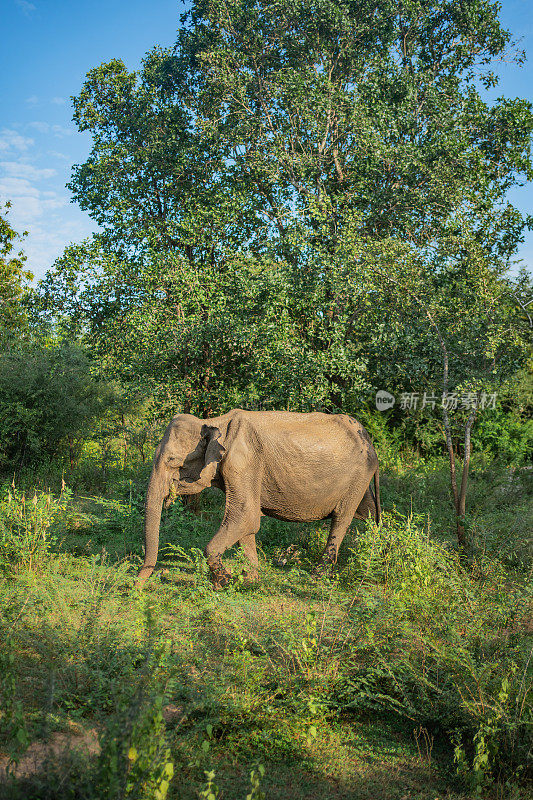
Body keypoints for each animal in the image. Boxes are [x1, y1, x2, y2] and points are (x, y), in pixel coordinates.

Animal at [135, 412, 380, 588]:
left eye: (172, 460)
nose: (135, 587)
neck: (214, 422)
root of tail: (368, 439)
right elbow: (246, 525)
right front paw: (250, 580)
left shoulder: (243, 463)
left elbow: (245, 517)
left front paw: (226, 582)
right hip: (362, 481)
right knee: (369, 515)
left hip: (358, 476)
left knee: (341, 518)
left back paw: (318, 577)